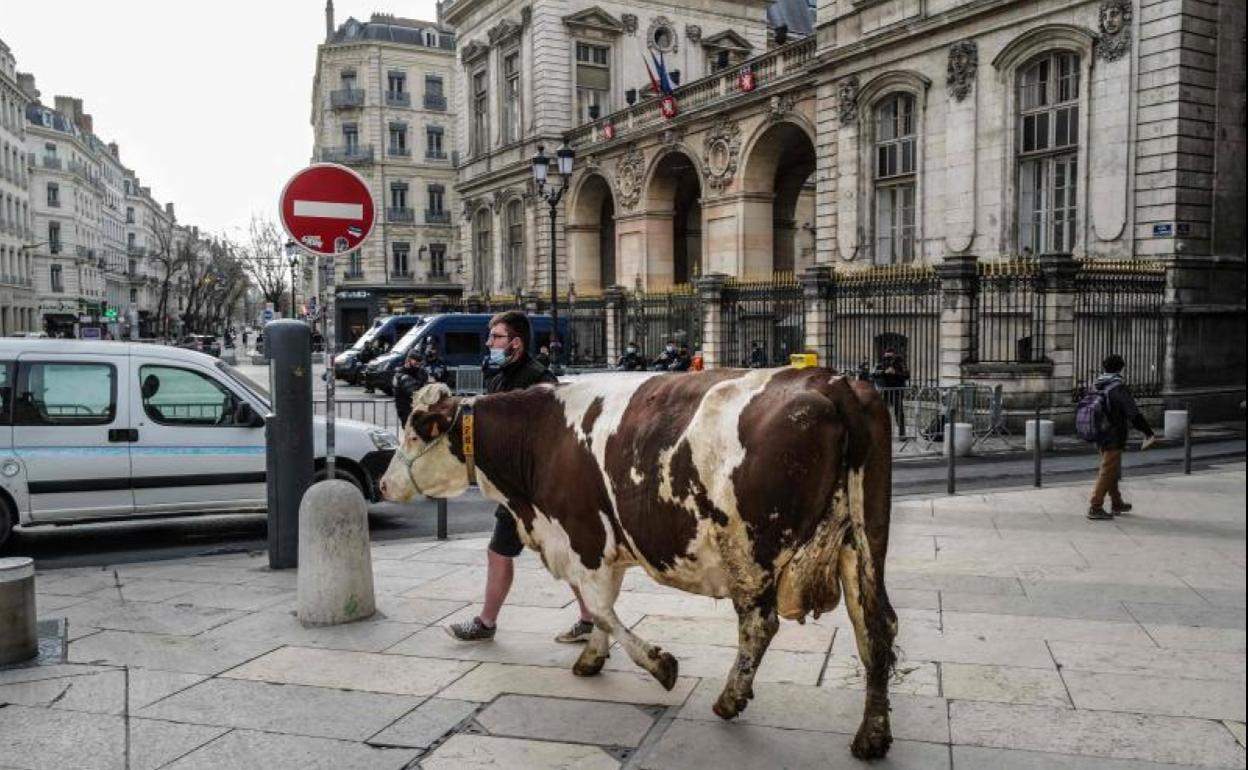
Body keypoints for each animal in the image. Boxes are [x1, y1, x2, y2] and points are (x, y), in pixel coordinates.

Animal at [376, 366, 898, 758]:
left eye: (413, 432)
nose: (382, 483)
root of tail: (831, 381)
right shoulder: (600, 546)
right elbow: (600, 609)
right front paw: (592, 657)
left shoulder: (583, 536)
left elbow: (600, 608)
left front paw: (660, 665)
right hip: (863, 542)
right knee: (876, 625)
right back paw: (872, 735)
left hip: (750, 549)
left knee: (759, 625)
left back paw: (729, 700)